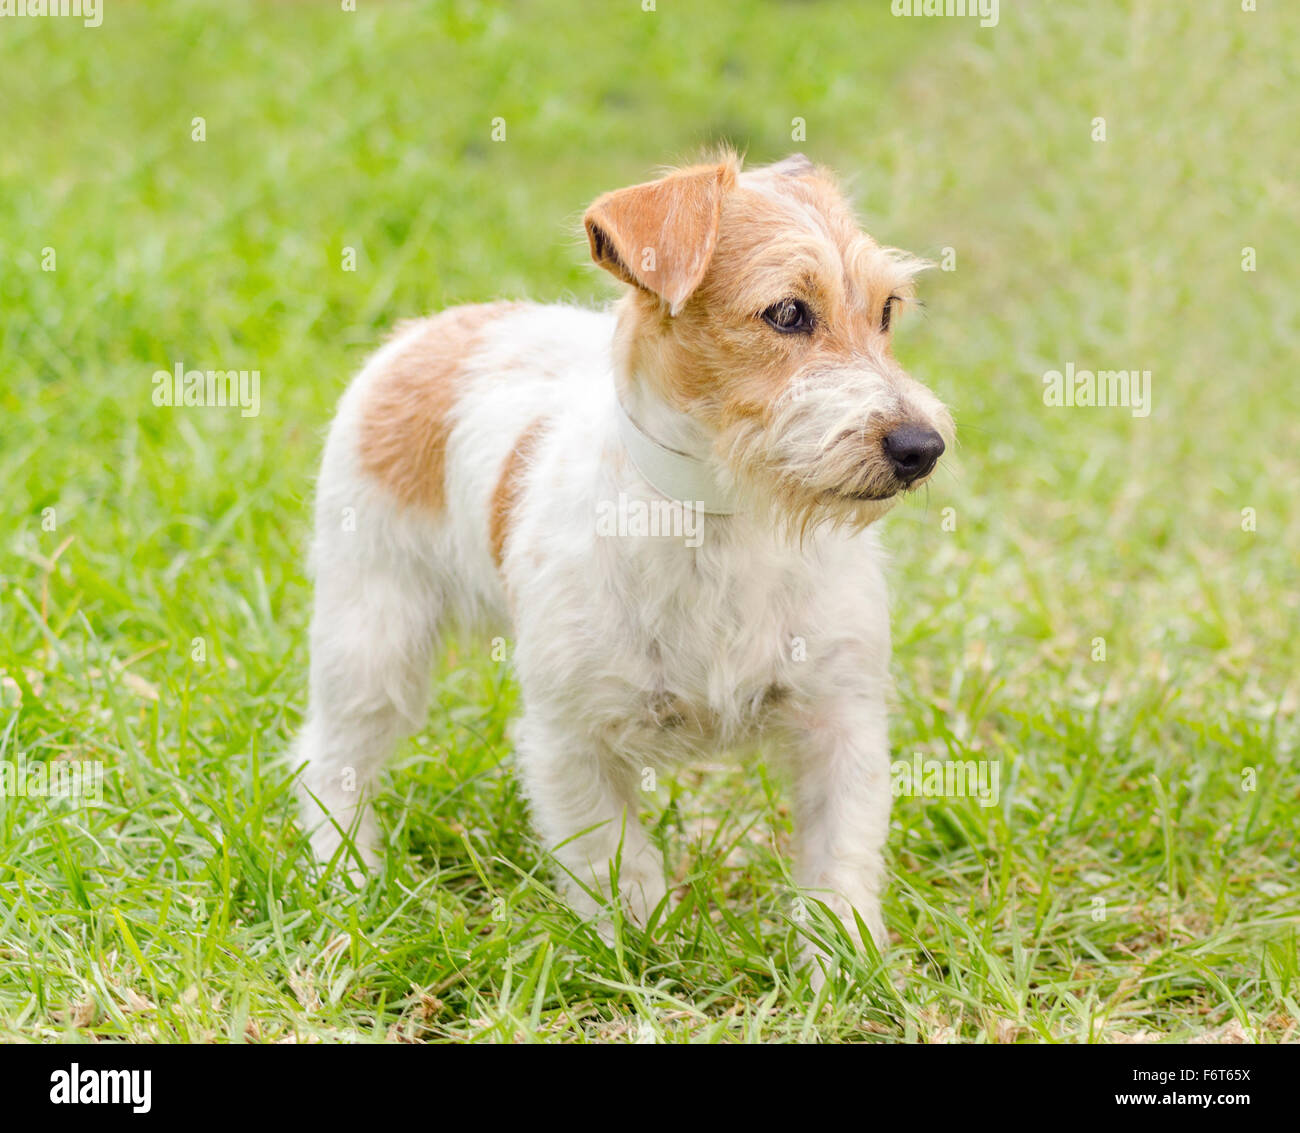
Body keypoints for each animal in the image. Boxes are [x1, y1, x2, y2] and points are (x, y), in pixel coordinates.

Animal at [295, 148, 956, 966]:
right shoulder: (570, 742)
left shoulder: (841, 723)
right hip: (371, 638)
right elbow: (618, 863)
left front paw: (843, 969)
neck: (722, 514)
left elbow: (839, 865)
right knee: (330, 758)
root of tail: (432, 330)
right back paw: (347, 874)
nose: (921, 447)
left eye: (889, 309)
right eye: (787, 313)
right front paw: (640, 960)